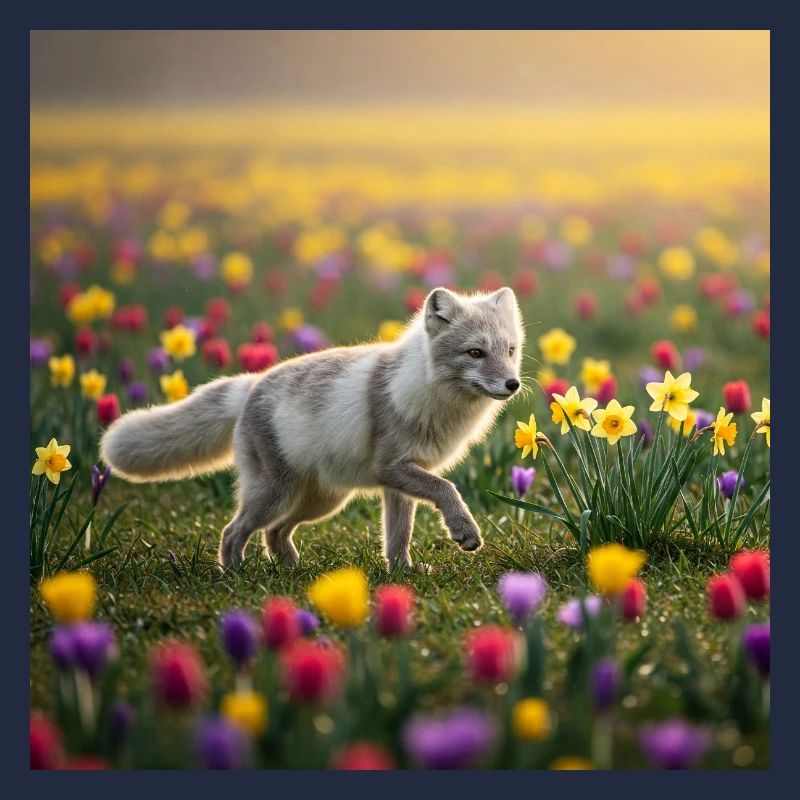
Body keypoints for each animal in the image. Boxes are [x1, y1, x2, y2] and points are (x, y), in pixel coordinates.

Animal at [100, 286, 525, 572]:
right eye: (474, 353)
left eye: (510, 351)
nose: (513, 385)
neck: (427, 389)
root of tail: (252, 384)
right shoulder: (393, 469)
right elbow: (447, 489)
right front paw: (464, 531)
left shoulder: (397, 483)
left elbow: (397, 536)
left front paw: (402, 573)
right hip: (275, 495)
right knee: (233, 531)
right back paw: (235, 574)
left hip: (321, 501)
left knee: (274, 533)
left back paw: (290, 570)